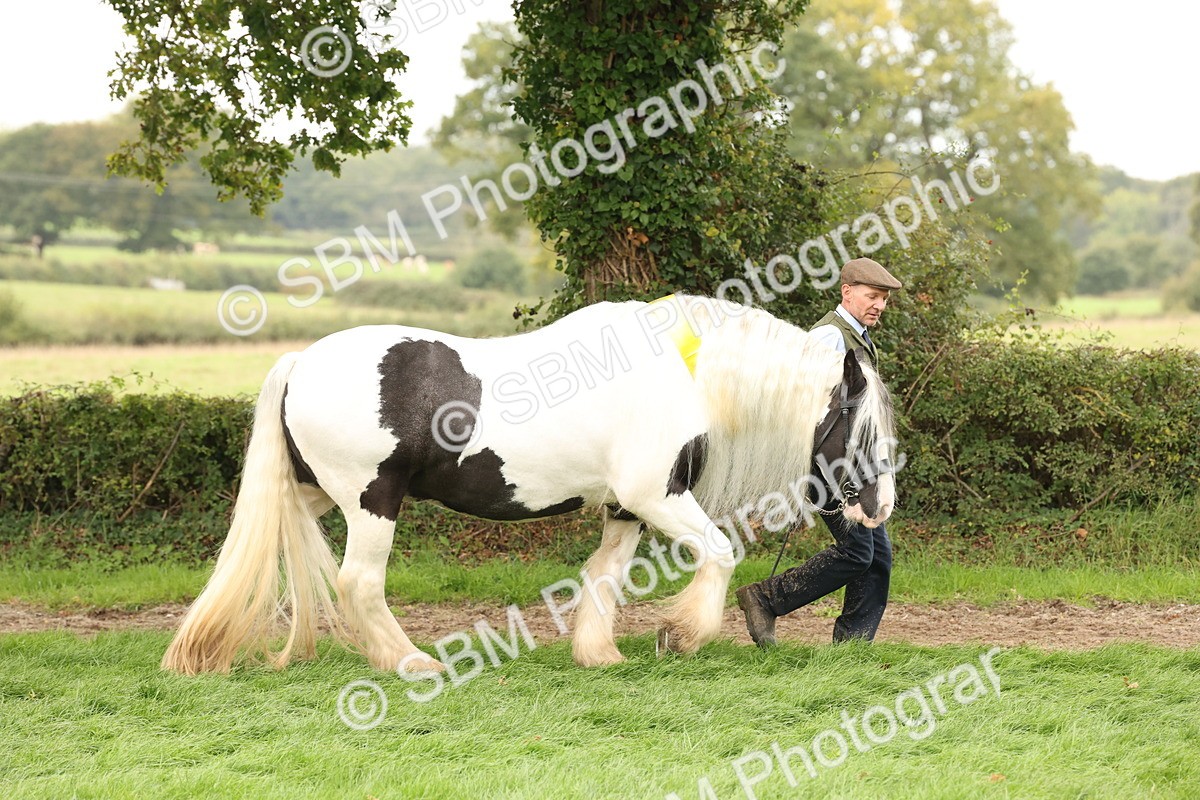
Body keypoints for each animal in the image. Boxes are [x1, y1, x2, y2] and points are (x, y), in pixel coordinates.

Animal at [162, 294, 896, 675]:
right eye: (861, 428)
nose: (879, 508)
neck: (679, 374)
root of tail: (301, 360)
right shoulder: (657, 497)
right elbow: (719, 553)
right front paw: (681, 635)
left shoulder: (627, 509)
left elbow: (603, 577)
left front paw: (600, 654)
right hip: (373, 501)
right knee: (359, 584)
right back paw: (413, 663)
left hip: (314, 493)